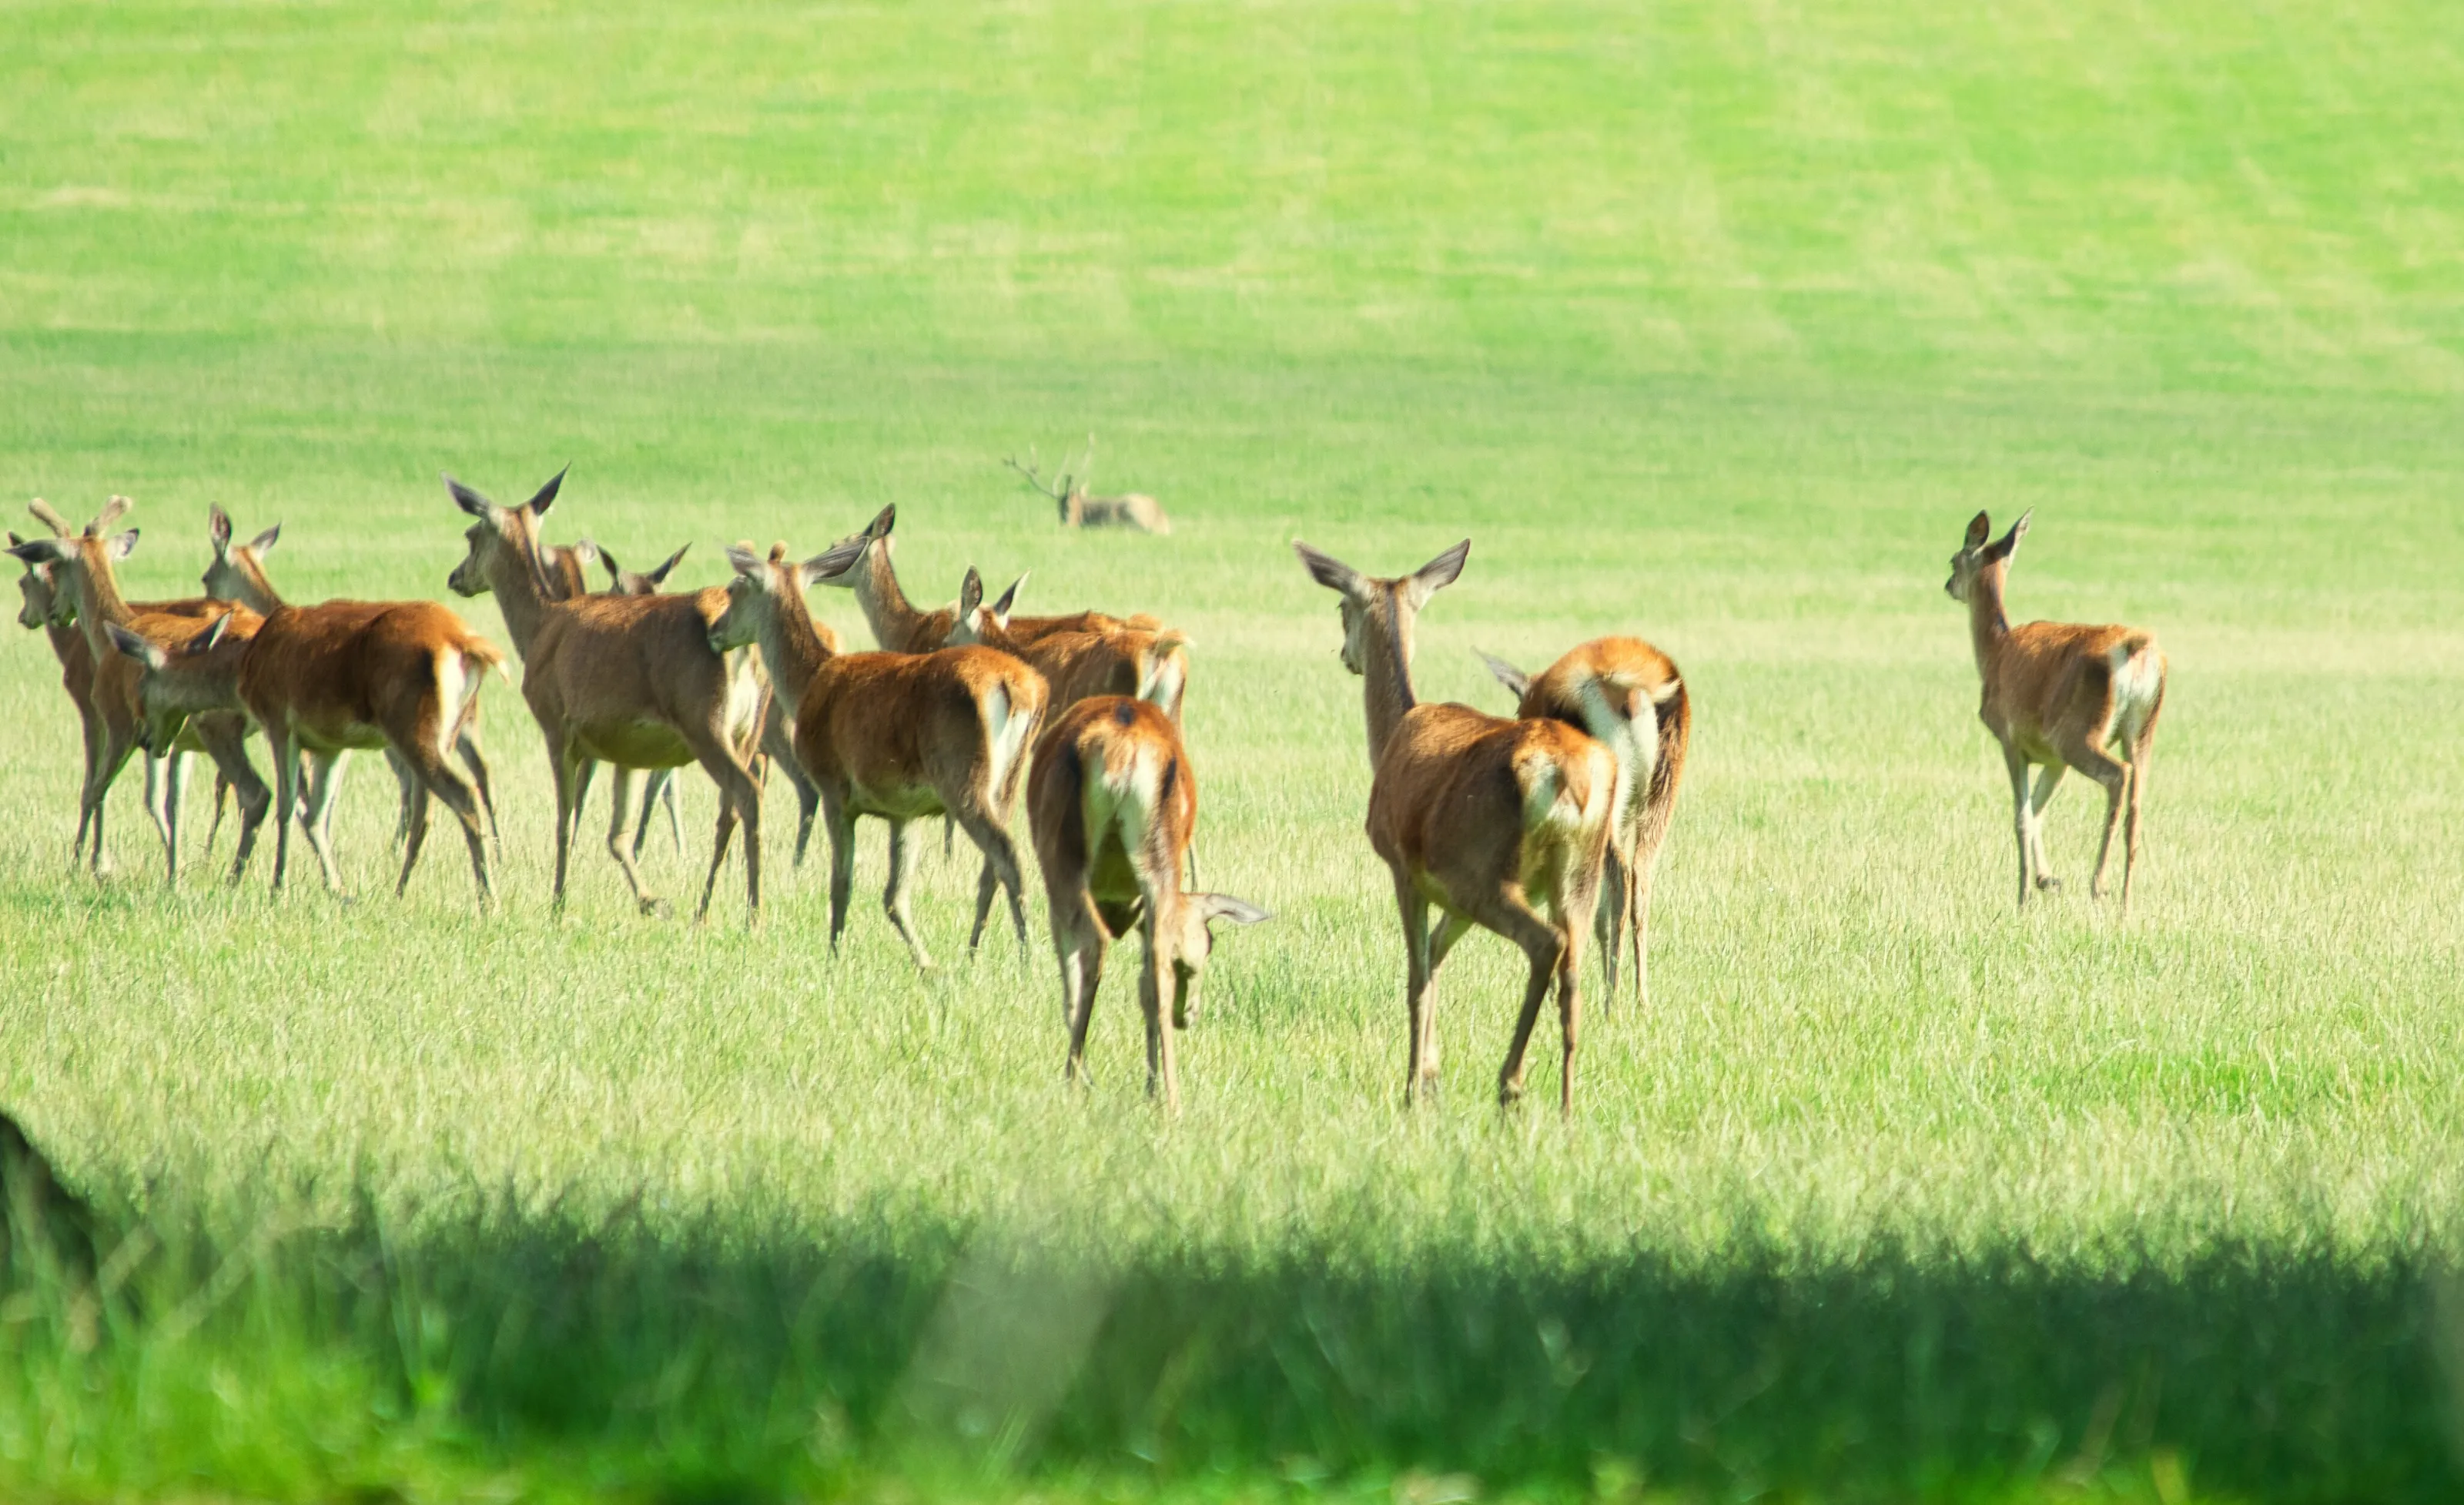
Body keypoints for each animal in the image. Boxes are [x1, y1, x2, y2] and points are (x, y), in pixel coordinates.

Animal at [444, 475, 770, 921]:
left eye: (471, 535)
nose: (455, 576)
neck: (539, 628)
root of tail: (746, 650)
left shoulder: (556, 725)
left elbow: (566, 822)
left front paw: (557, 903)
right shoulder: (628, 748)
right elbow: (618, 834)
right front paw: (653, 901)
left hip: (704, 720)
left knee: (747, 793)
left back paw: (752, 914)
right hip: (746, 728)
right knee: (730, 808)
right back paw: (705, 907)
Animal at [712, 540, 1048, 970]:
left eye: (735, 589)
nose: (714, 631)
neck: (808, 683)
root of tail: (1018, 687)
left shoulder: (834, 788)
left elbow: (842, 883)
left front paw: (834, 956)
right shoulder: (904, 809)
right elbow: (894, 897)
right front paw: (926, 964)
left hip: (962, 776)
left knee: (1008, 855)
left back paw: (1027, 958)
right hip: (1007, 781)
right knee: (994, 864)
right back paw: (979, 952)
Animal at [1029, 695, 1268, 1111]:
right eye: (1208, 947)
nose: (1188, 1016)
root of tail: (1124, 747)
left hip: (1062, 857)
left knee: (1090, 945)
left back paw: (1075, 1081)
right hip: (1159, 859)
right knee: (1155, 971)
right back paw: (1169, 1100)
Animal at [1295, 539, 1616, 1116]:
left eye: (1340, 607)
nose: (1345, 655)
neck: (1391, 737)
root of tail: (1566, 774)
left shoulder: (1404, 866)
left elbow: (1417, 973)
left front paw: (1411, 1089)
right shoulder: (1450, 899)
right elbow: (1438, 957)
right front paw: (1431, 1075)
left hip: (1485, 870)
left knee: (1546, 944)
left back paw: (1510, 1084)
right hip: (1578, 873)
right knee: (1574, 972)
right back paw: (1565, 1105)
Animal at [1946, 510, 2167, 912]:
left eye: (1954, 560)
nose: (1948, 584)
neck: (1994, 652)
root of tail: (2136, 648)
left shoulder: (2011, 738)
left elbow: (2021, 816)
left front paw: (2023, 895)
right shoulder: (2051, 758)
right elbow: (2037, 811)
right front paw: (2047, 880)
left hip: (2079, 732)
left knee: (2118, 776)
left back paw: (2099, 884)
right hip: (2141, 729)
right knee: (2138, 800)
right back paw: (2126, 901)